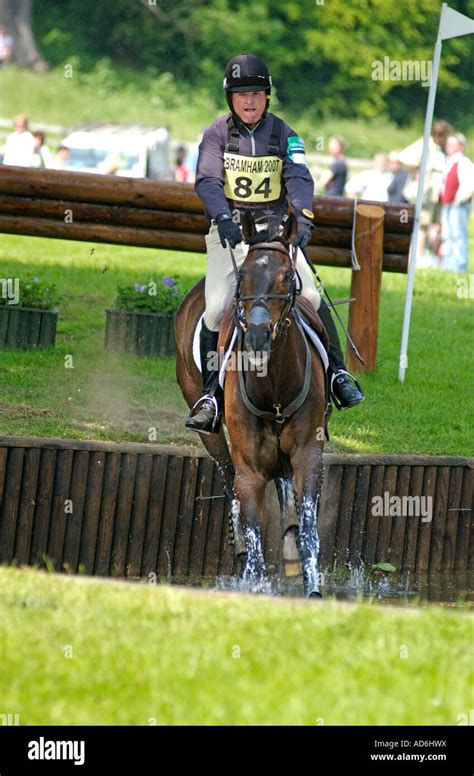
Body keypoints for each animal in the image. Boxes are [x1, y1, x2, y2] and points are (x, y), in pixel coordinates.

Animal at [175, 212, 330, 600]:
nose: (258, 336)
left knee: (285, 485)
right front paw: (255, 582)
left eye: (287, 276)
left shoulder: (308, 454)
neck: (273, 386)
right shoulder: (250, 469)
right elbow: (253, 529)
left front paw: (312, 586)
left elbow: (309, 525)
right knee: (227, 474)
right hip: (210, 432)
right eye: (243, 275)